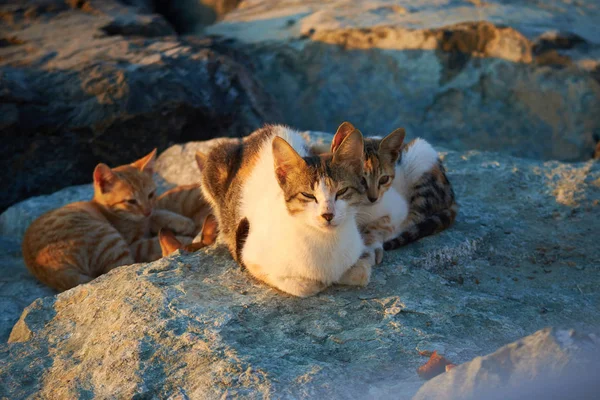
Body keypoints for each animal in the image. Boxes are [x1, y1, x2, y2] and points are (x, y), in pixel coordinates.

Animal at [22, 150, 199, 290]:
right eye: (131, 201)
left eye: (150, 194)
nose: (146, 210)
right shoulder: (133, 243)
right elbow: (151, 240)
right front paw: (185, 237)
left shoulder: (147, 218)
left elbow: (158, 215)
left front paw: (183, 223)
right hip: (107, 237)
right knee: (124, 268)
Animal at [197, 124, 376, 296]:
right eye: (308, 195)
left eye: (342, 191)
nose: (328, 214)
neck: (326, 241)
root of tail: (263, 130)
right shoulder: (249, 257)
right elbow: (303, 287)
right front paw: (319, 283)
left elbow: (362, 273)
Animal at [330, 122, 458, 255]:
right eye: (360, 180)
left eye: (384, 179)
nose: (373, 198)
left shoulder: (397, 208)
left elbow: (383, 224)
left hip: (421, 159)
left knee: (415, 218)